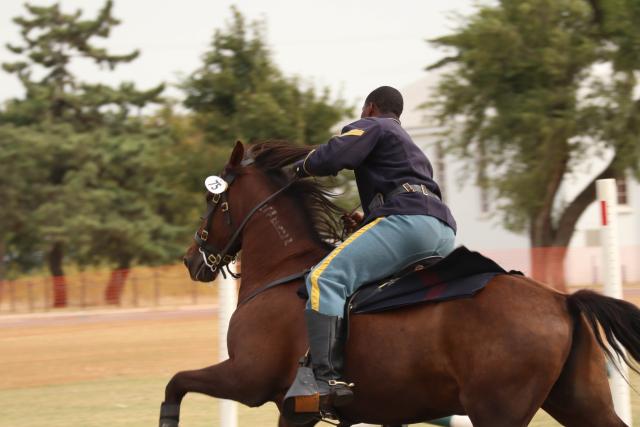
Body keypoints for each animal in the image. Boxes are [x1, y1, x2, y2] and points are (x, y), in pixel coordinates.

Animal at [161, 141, 640, 427]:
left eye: (212, 198)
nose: (191, 259)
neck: (282, 269)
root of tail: (563, 301)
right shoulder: (295, 411)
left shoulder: (246, 378)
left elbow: (176, 383)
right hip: (579, 402)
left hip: (498, 411)